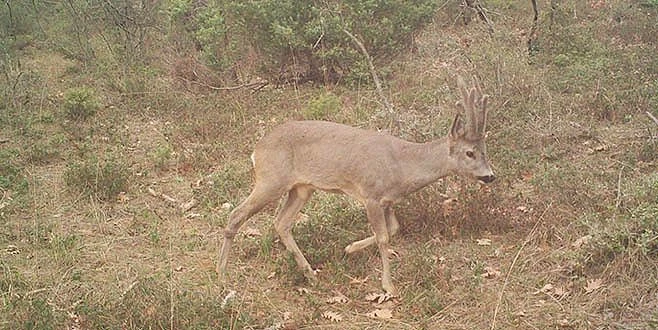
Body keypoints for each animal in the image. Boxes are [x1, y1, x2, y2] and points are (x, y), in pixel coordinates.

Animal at [215, 76, 492, 296]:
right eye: (469, 153)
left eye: (484, 149)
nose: (490, 176)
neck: (403, 165)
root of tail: (256, 150)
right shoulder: (371, 194)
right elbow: (383, 237)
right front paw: (388, 286)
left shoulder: (387, 200)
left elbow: (394, 229)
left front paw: (349, 248)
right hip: (271, 179)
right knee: (236, 214)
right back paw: (221, 273)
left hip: (301, 188)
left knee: (281, 223)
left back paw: (310, 274)